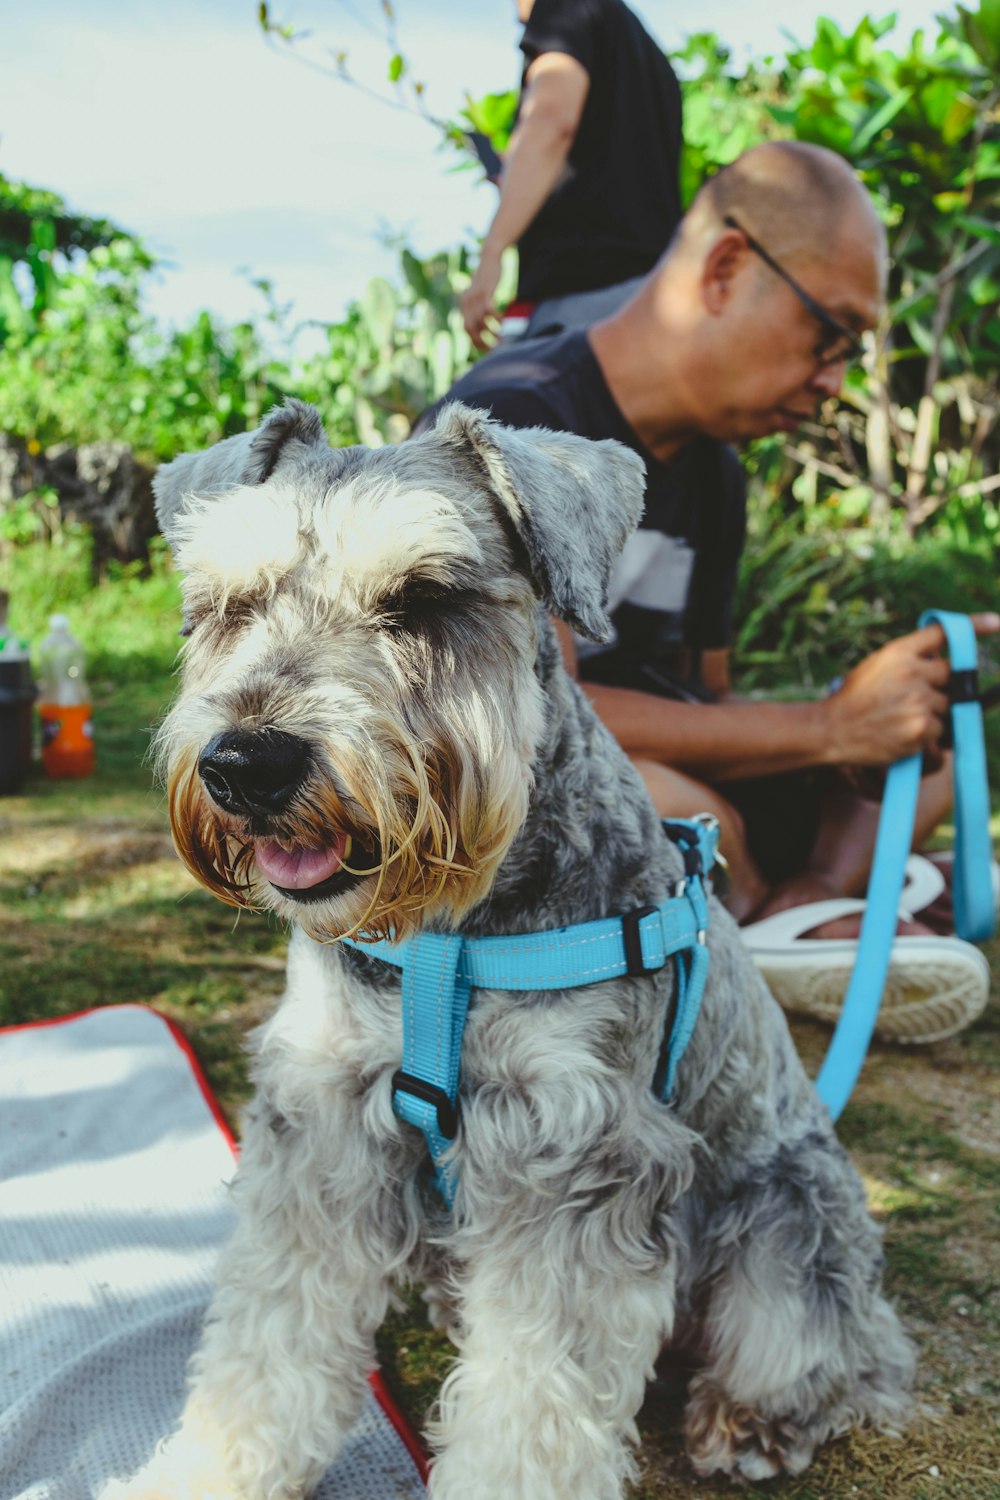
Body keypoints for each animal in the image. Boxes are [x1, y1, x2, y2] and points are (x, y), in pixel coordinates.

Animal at [134, 399, 917, 1500]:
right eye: (231, 604)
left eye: (422, 599)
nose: (248, 763)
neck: (443, 940)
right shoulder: (322, 1124)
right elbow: (269, 1339)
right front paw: (213, 1468)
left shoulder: (574, 1152)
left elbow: (533, 1401)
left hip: (793, 1217)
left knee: (843, 1347)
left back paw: (756, 1418)